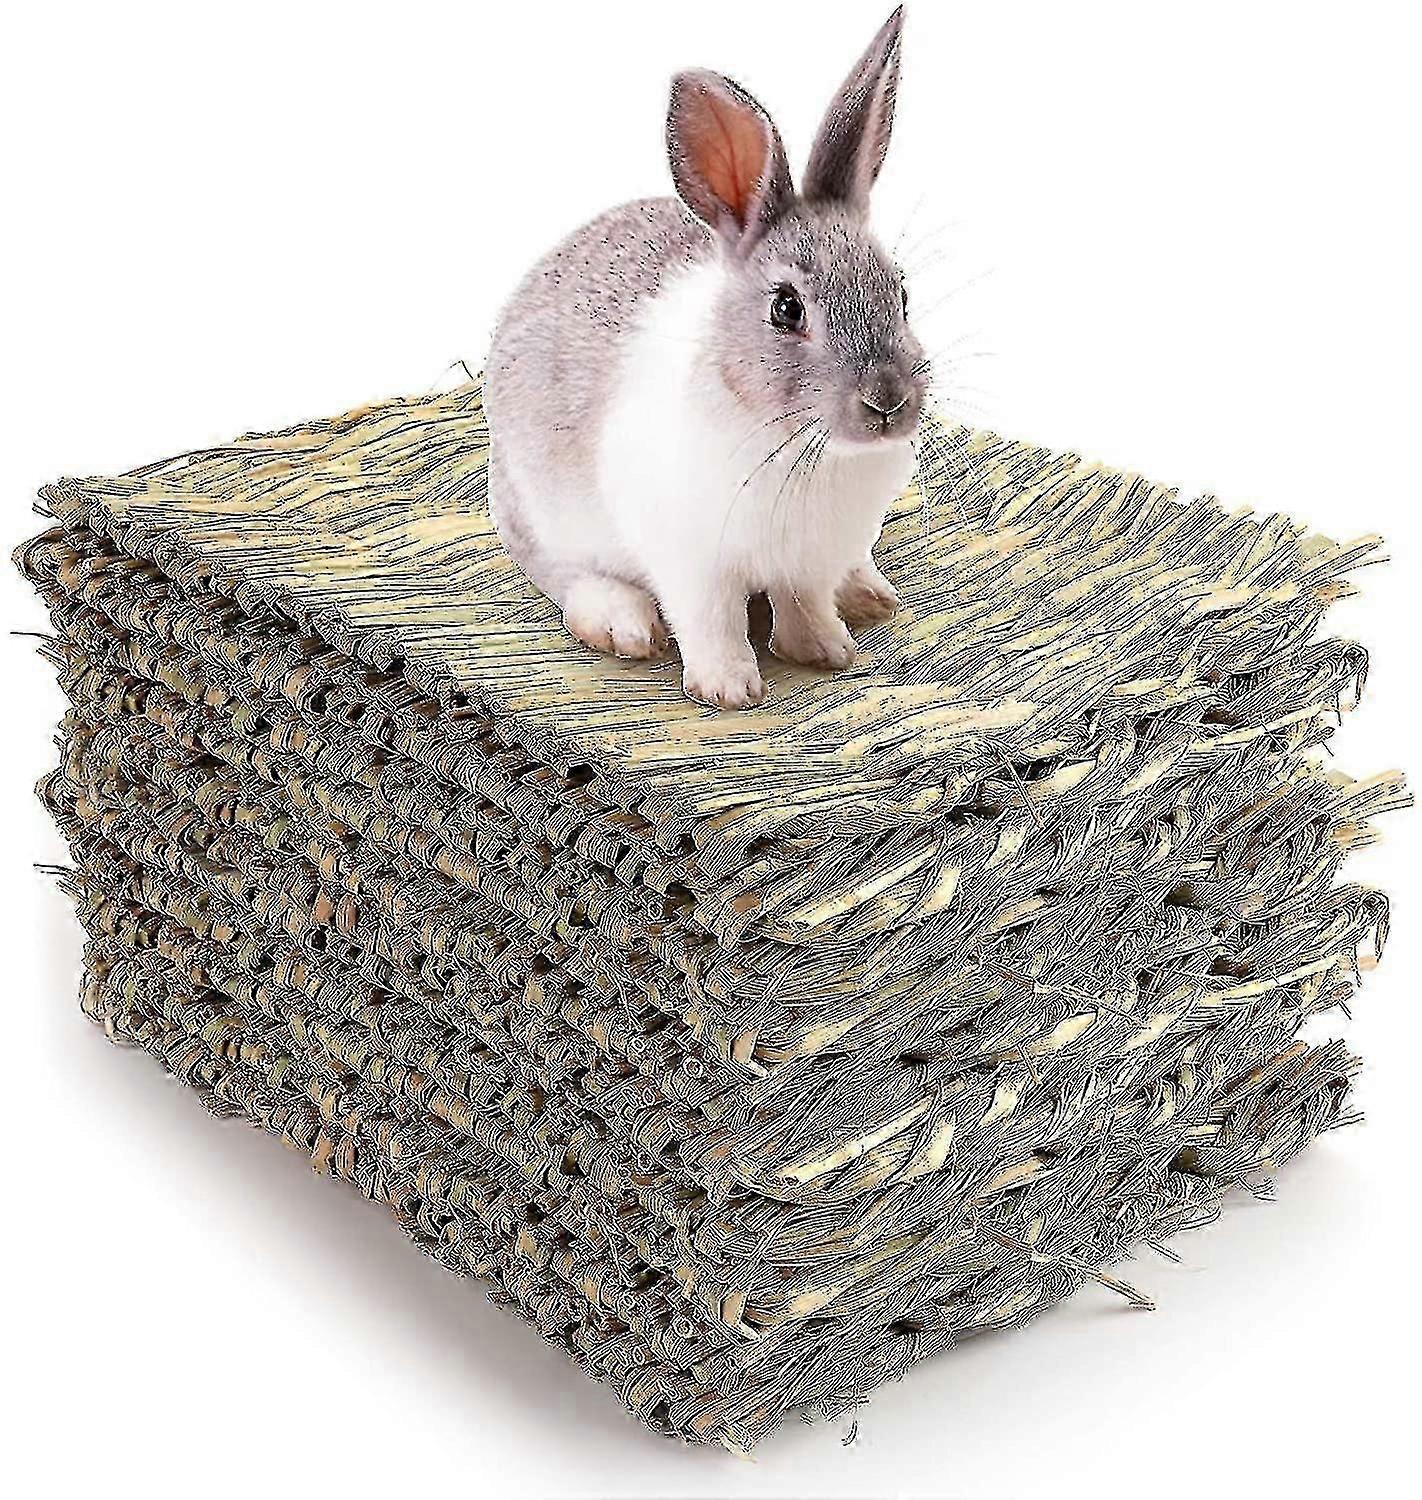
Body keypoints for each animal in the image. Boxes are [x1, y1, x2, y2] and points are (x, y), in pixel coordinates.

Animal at [484, 7, 927, 709]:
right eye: (785, 309)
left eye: (902, 292)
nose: (888, 402)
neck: (799, 444)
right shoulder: (692, 563)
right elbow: (711, 621)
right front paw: (730, 690)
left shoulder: (807, 563)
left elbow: (804, 604)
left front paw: (827, 651)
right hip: (541, 514)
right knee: (564, 576)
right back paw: (625, 624)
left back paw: (867, 593)